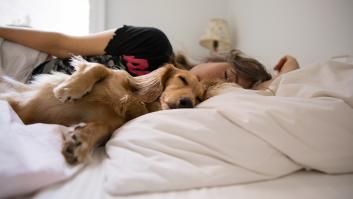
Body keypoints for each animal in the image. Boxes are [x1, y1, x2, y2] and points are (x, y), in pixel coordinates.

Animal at [0, 57, 204, 163]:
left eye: (199, 98)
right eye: (182, 79)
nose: (188, 102)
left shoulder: (111, 124)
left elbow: (102, 128)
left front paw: (81, 140)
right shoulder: (112, 75)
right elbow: (98, 67)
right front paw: (69, 89)